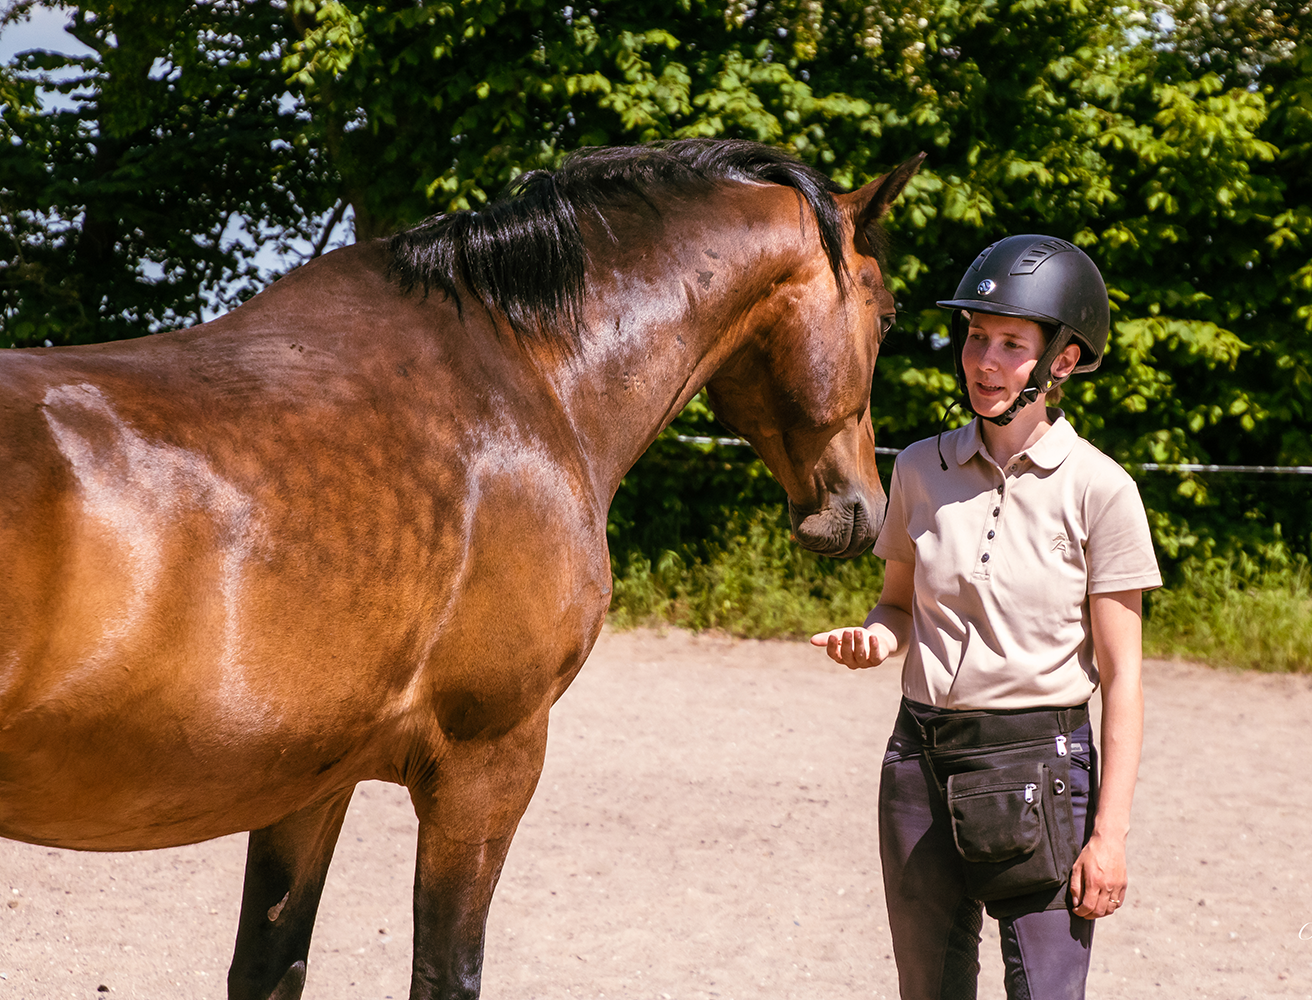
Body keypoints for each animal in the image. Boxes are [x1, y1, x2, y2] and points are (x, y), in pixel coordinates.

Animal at [0, 138, 922, 1000]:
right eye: (885, 315)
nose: (862, 506)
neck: (532, 377)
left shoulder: (306, 782)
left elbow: (269, 964)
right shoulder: (488, 764)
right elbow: (446, 971)